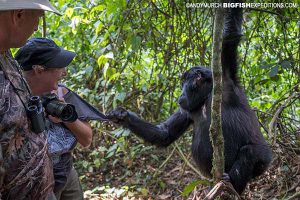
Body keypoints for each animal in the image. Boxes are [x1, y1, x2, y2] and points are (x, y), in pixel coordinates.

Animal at [107, 3, 272, 194]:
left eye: (186, 83)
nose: (181, 93)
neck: (207, 96)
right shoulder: (185, 110)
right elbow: (165, 132)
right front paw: (122, 115)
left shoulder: (225, 77)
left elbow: (230, 36)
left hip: (264, 161)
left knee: (250, 152)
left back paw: (231, 185)